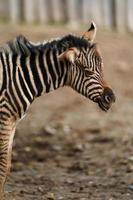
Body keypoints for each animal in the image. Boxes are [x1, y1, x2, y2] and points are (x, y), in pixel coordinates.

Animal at [0, 22, 115, 198]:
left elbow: (7, 166)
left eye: (101, 67)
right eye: (87, 71)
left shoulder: (13, 122)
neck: (17, 79)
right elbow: (2, 165)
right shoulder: (4, 120)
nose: (111, 98)